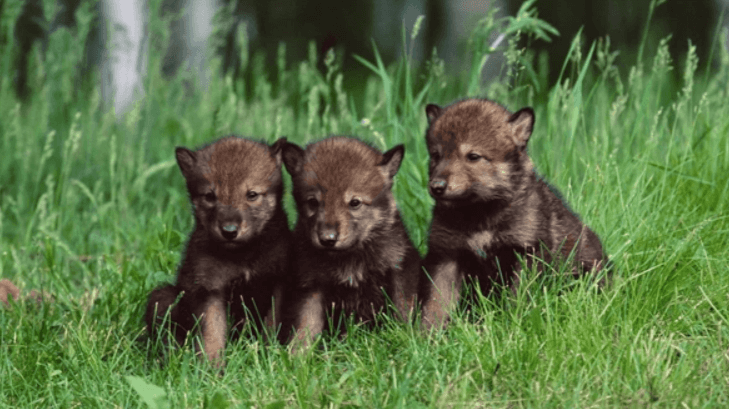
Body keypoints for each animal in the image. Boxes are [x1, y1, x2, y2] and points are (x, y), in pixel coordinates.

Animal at [145, 136, 290, 366]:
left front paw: (270, 359)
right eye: (210, 196)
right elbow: (212, 334)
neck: (243, 255)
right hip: (163, 297)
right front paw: (210, 368)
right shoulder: (210, 290)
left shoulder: (278, 282)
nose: (229, 231)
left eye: (252, 194)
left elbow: (271, 327)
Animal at [280, 136, 421, 349]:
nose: (327, 239)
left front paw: (408, 340)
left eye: (355, 202)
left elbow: (403, 311)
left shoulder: (399, 270)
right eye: (312, 202)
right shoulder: (310, 287)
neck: (349, 258)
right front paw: (297, 355)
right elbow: (305, 328)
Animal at [419, 99, 608, 330]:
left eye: (473, 156)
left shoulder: (527, 252)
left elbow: (518, 298)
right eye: (436, 155)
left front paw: (514, 327)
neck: (481, 215)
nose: (437, 186)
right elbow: (436, 304)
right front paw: (426, 335)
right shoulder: (446, 255)